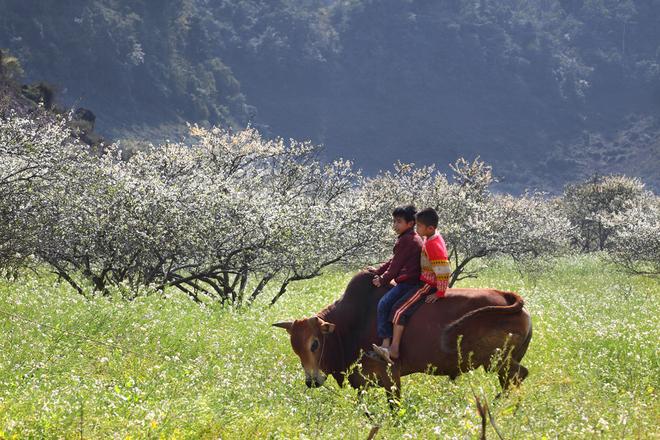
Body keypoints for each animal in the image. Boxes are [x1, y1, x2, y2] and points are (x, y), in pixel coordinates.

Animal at [274, 272, 532, 398]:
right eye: (295, 348)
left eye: (315, 343)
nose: (311, 381)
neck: (351, 324)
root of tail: (507, 297)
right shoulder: (360, 382)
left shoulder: (391, 375)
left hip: (500, 362)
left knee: (519, 376)